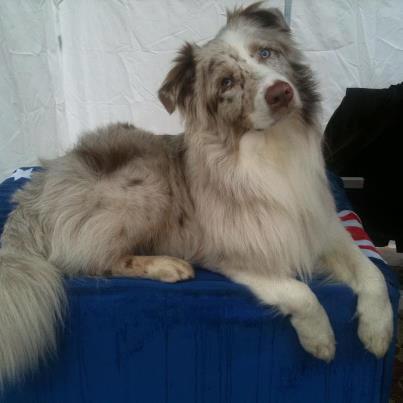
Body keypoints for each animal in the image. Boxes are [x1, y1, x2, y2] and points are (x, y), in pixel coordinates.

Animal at [0, 2, 393, 387]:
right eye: (227, 82)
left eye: (265, 53)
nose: (280, 92)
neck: (271, 149)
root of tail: (36, 187)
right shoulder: (234, 252)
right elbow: (300, 292)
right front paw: (320, 338)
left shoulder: (322, 226)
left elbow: (372, 272)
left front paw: (378, 331)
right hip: (145, 184)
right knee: (88, 261)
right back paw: (166, 265)